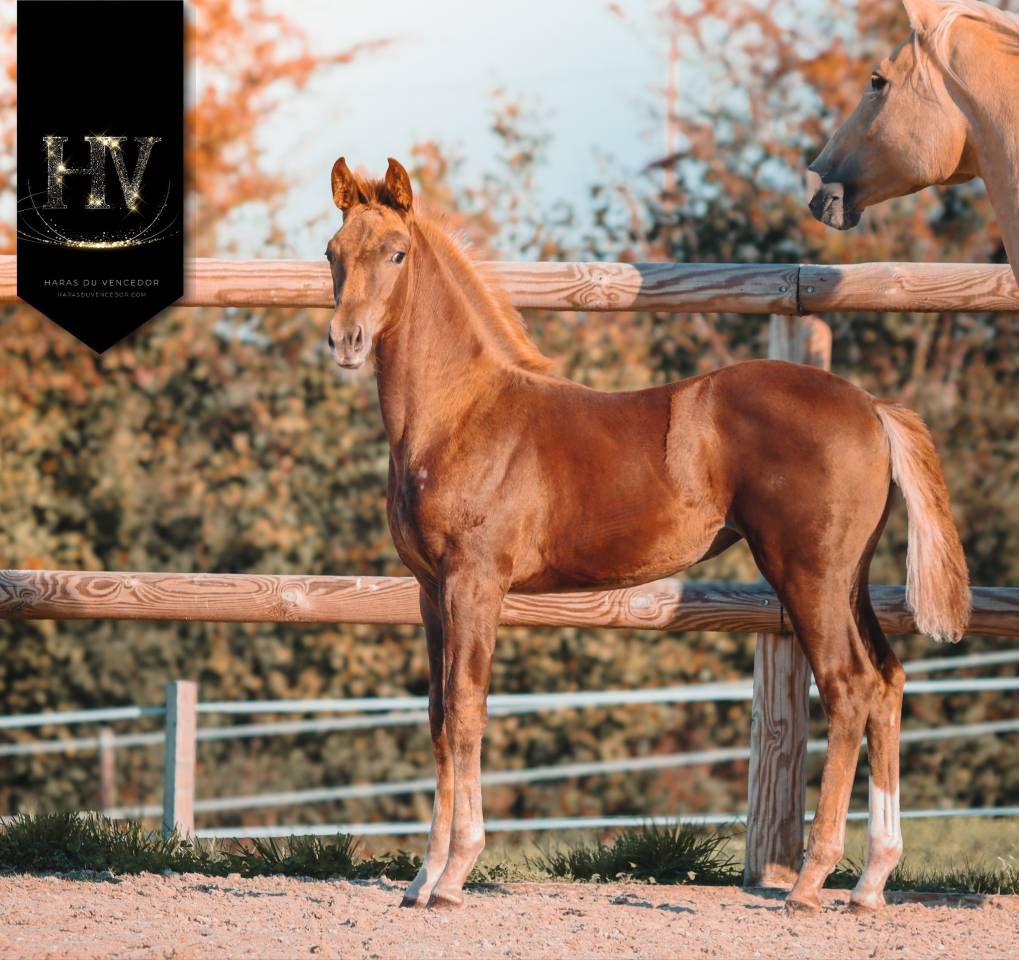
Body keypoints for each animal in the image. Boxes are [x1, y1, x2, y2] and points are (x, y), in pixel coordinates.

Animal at [324, 156, 970, 914]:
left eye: (396, 253)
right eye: (333, 253)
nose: (346, 341)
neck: (461, 413)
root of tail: (870, 405)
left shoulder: (475, 584)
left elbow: (465, 711)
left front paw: (453, 875)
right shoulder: (430, 591)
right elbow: (434, 714)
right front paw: (421, 880)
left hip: (807, 574)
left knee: (849, 687)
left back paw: (809, 883)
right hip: (849, 579)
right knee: (888, 682)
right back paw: (869, 882)